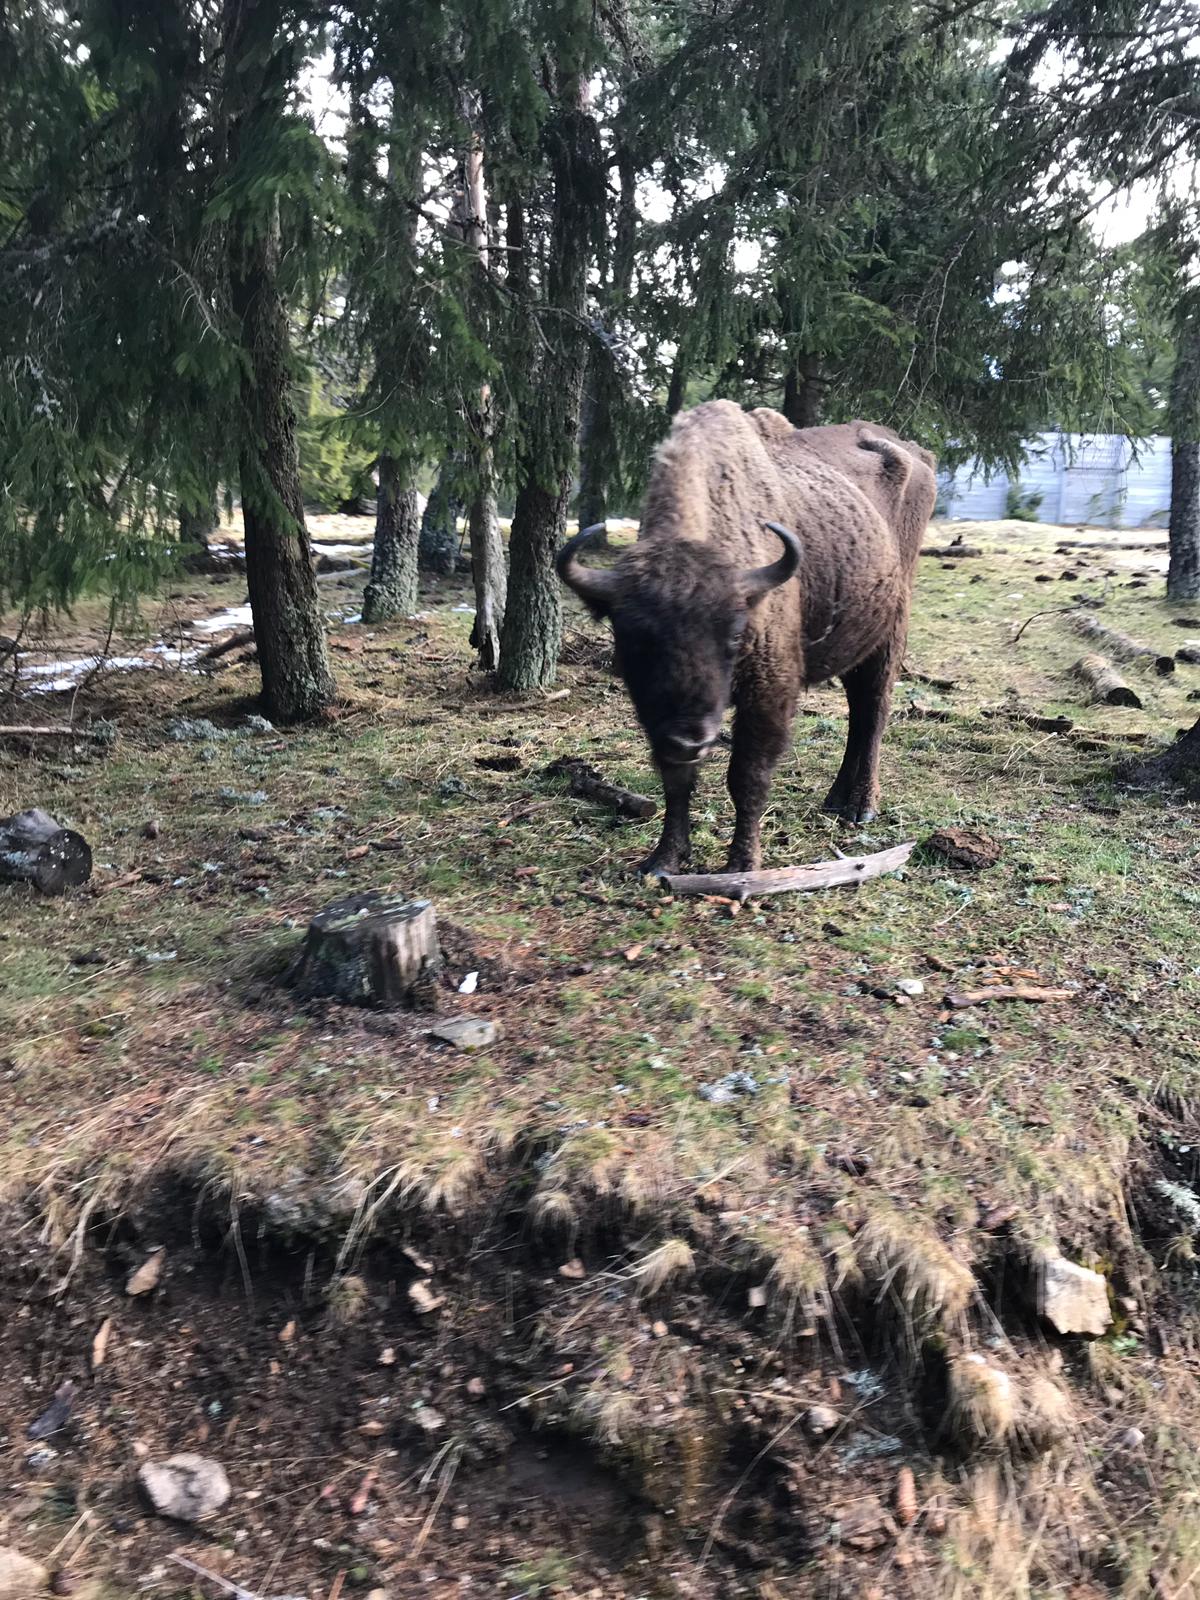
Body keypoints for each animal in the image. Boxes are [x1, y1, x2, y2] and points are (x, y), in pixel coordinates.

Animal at [556, 400, 937, 874]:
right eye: (633, 639)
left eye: (736, 635)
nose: (689, 739)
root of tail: (917, 454)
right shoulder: (657, 713)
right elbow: (676, 781)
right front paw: (663, 860)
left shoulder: (767, 692)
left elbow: (746, 775)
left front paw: (742, 865)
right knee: (857, 712)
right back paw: (835, 799)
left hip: (890, 633)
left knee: (873, 712)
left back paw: (860, 807)